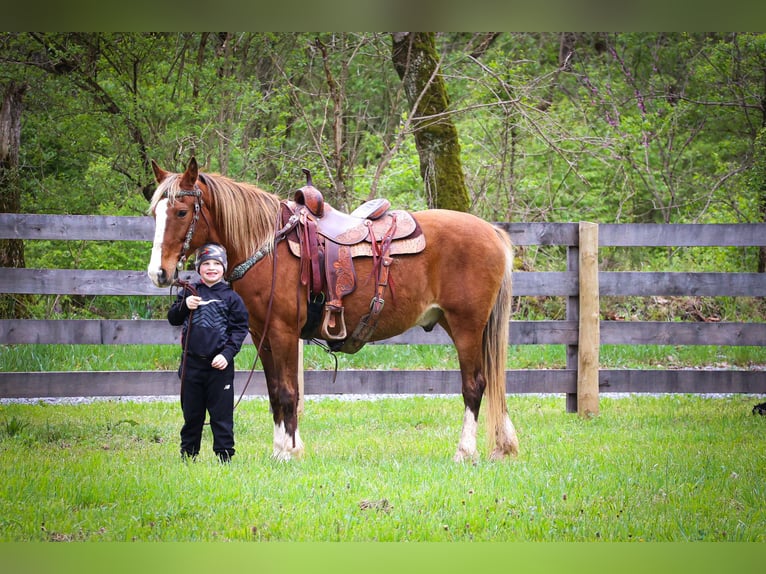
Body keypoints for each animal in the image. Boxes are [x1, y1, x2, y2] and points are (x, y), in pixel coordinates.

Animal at [147, 158, 520, 464]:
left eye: (181, 212)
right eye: (155, 214)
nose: (158, 273)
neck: (269, 245)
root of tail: (491, 231)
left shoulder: (283, 331)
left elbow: (288, 392)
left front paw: (288, 452)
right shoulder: (260, 333)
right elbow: (274, 393)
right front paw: (281, 449)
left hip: (466, 326)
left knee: (474, 385)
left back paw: (465, 452)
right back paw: (501, 446)